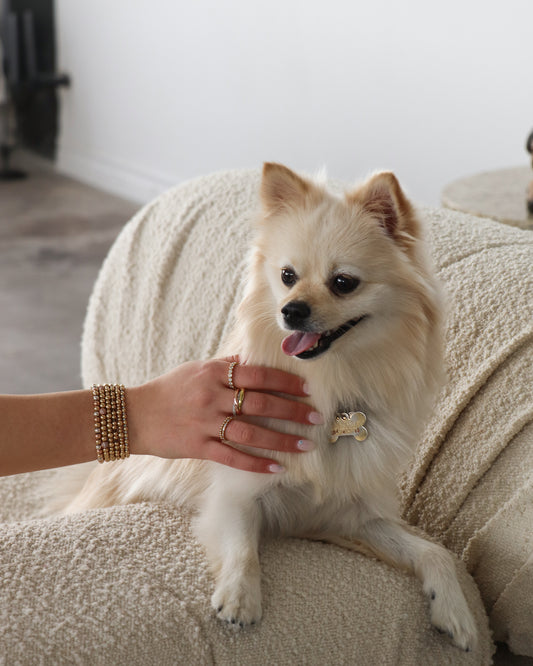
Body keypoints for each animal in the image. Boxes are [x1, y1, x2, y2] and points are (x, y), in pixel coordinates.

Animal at [64, 162, 476, 648]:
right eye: (287, 276)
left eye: (343, 283)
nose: (291, 311)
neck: (331, 384)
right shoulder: (236, 491)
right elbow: (244, 546)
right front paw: (241, 597)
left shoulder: (353, 517)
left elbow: (434, 551)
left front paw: (454, 609)